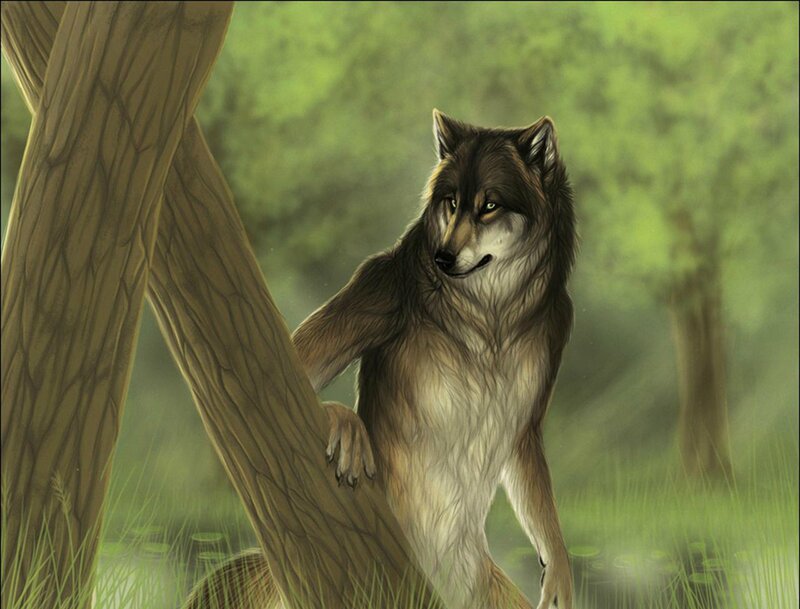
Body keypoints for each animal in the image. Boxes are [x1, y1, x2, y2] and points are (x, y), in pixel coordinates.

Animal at [185, 110, 577, 609]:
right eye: (452, 202)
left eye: (489, 205)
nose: (442, 257)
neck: (491, 317)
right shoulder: (379, 286)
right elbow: (294, 365)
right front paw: (344, 423)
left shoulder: (535, 398)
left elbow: (540, 500)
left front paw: (560, 571)